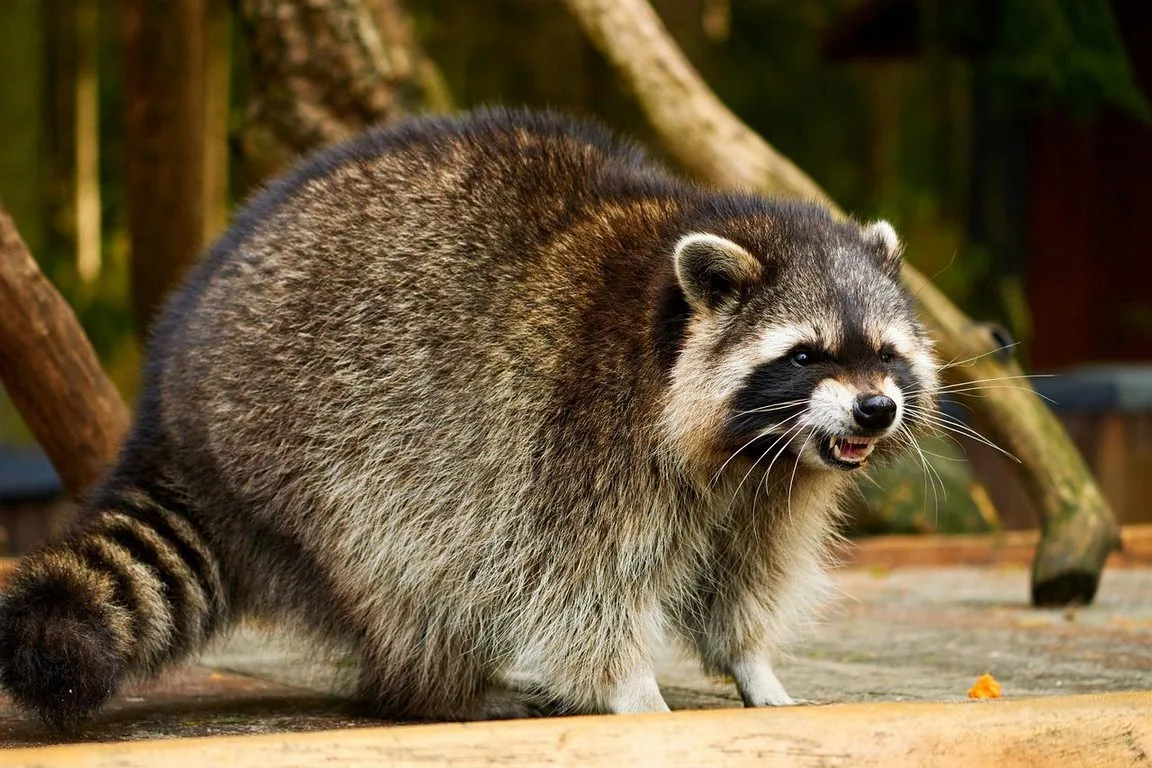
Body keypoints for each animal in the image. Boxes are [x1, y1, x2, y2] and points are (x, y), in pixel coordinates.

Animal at [0, 109, 938, 727]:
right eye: (808, 354)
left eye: (887, 355)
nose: (876, 409)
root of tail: (170, 398)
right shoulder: (584, 434)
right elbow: (576, 588)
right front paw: (631, 688)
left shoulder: (772, 487)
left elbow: (743, 578)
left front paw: (753, 667)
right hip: (312, 438)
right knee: (415, 565)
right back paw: (441, 691)